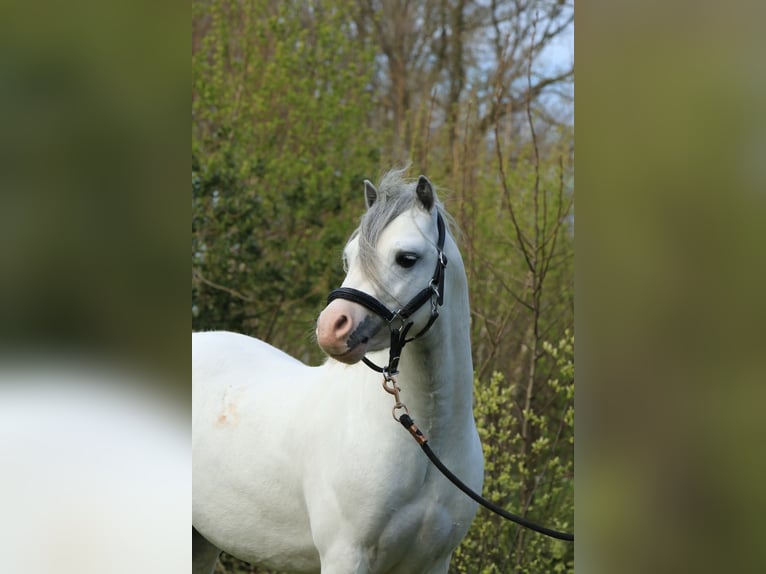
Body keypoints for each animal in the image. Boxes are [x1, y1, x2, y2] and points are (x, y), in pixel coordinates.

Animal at [192, 169, 484, 573]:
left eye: (407, 258)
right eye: (349, 258)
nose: (331, 327)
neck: (426, 440)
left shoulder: (434, 562)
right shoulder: (345, 555)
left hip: (202, 541)